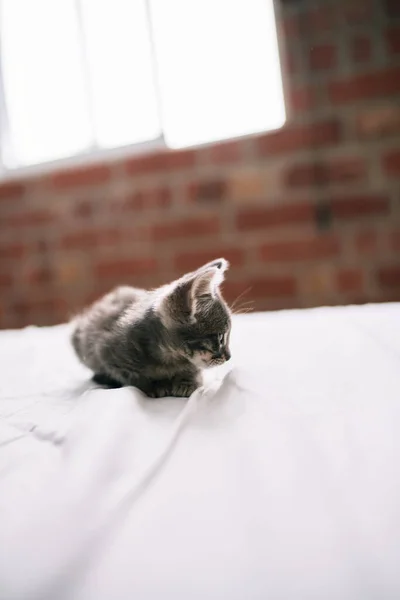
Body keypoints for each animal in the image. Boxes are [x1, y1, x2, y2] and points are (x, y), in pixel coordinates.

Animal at [70, 258, 230, 398]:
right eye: (221, 338)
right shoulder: (106, 352)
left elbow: (194, 370)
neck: (170, 358)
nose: (229, 357)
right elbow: (134, 377)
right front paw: (156, 386)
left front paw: (188, 381)